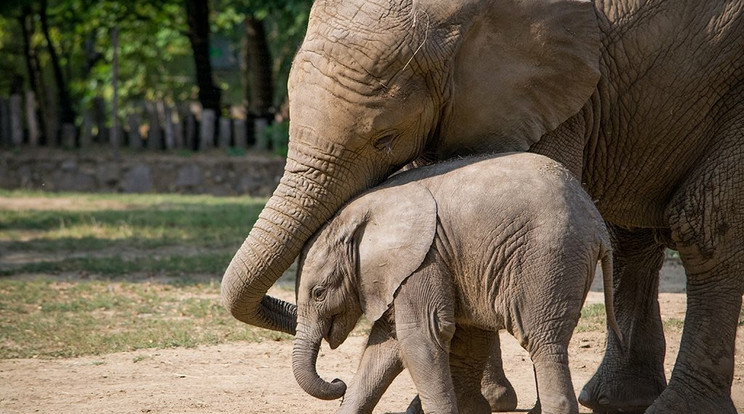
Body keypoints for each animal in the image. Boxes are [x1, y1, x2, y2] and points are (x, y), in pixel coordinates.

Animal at [290, 152, 620, 414]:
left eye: (318, 293)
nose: (337, 381)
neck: (360, 214)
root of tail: (598, 225)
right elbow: (386, 345)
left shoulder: (425, 260)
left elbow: (421, 336)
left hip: (549, 258)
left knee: (542, 342)